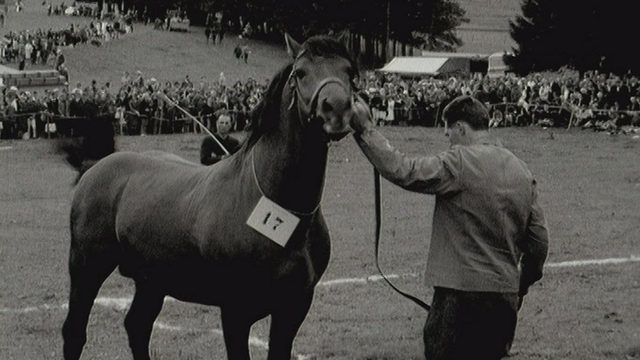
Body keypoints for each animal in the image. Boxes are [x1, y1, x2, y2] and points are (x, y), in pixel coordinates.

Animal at [62, 34, 360, 360]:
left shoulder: (293, 309)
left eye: (349, 71)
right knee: (75, 332)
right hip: (86, 268)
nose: (337, 110)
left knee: (137, 326)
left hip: (151, 281)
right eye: (301, 72)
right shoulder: (235, 312)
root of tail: (94, 166)